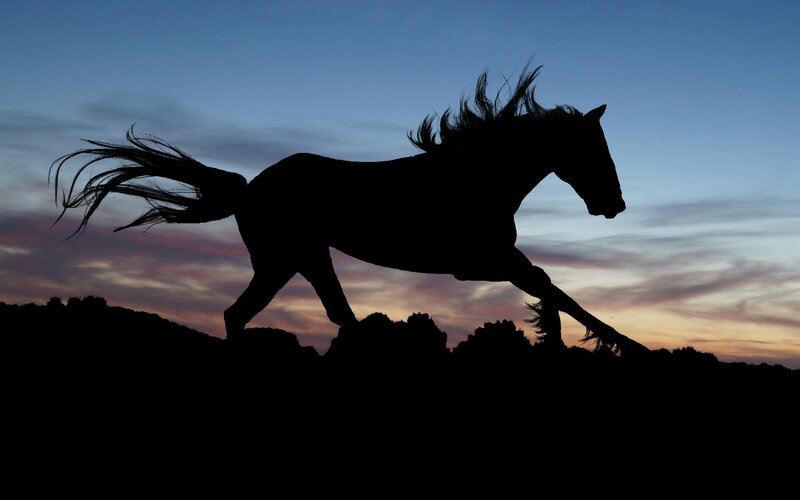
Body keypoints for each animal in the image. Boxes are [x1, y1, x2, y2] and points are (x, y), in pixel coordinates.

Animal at [50, 64, 647, 355]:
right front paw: (623, 345)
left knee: (314, 315)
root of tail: (250, 189)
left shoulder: (490, 262)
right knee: (255, 315)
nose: (614, 205)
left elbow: (552, 290)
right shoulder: (478, 262)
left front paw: (562, 336)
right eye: (594, 149)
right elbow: (554, 287)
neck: (473, 179)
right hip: (287, 258)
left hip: (301, 259)